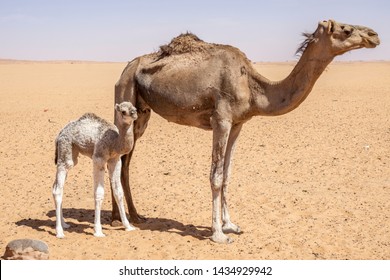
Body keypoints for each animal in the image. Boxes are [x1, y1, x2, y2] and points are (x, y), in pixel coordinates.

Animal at [51, 101, 138, 237]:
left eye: (134, 107)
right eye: (123, 111)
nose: (134, 114)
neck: (114, 142)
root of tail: (59, 133)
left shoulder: (115, 160)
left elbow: (118, 192)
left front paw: (128, 226)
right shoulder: (99, 159)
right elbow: (99, 193)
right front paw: (98, 231)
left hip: (71, 153)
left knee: (57, 186)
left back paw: (65, 224)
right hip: (65, 148)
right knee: (58, 189)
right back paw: (59, 232)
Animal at [111, 19, 380, 243]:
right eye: (346, 29)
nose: (374, 35)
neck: (252, 87)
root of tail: (127, 68)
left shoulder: (238, 124)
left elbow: (228, 174)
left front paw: (230, 225)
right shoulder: (221, 119)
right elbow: (216, 176)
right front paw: (218, 234)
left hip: (142, 114)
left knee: (124, 160)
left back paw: (133, 215)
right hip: (125, 94)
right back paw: (117, 218)